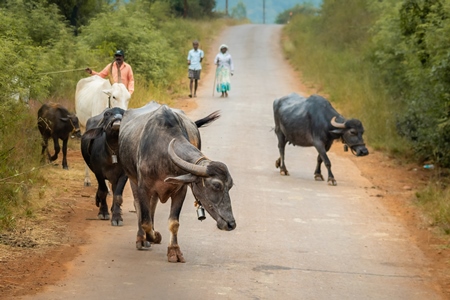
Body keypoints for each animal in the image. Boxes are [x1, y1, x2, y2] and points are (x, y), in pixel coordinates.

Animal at [119, 103, 236, 262]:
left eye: (230, 186)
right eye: (216, 185)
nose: (231, 224)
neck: (161, 151)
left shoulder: (181, 190)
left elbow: (174, 222)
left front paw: (174, 250)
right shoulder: (143, 187)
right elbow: (145, 221)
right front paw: (154, 236)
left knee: (153, 205)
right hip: (132, 179)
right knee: (139, 206)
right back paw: (141, 239)